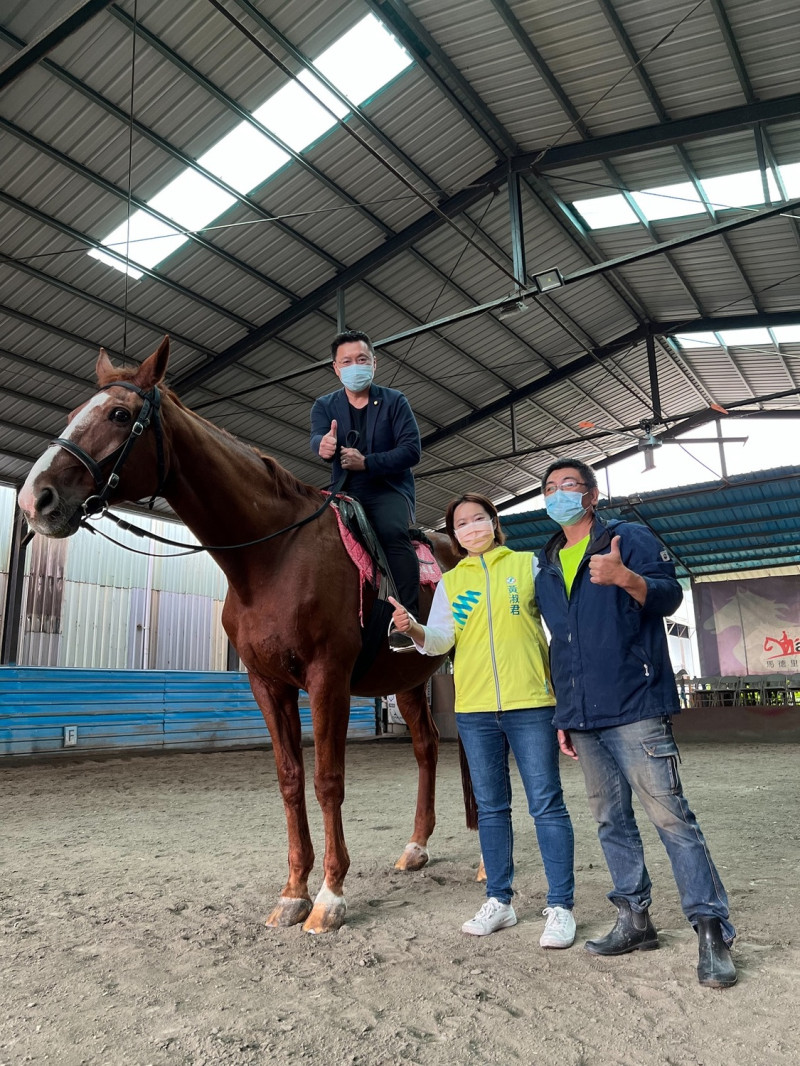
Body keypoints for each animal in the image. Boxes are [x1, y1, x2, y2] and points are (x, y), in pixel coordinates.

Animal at [17, 336, 456, 929]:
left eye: (120, 415)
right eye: (71, 415)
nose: (33, 500)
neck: (274, 554)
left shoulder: (328, 680)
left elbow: (328, 780)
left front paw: (331, 896)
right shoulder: (266, 685)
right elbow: (291, 780)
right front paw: (293, 892)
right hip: (410, 680)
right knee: (428, 748)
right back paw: (417, 846)